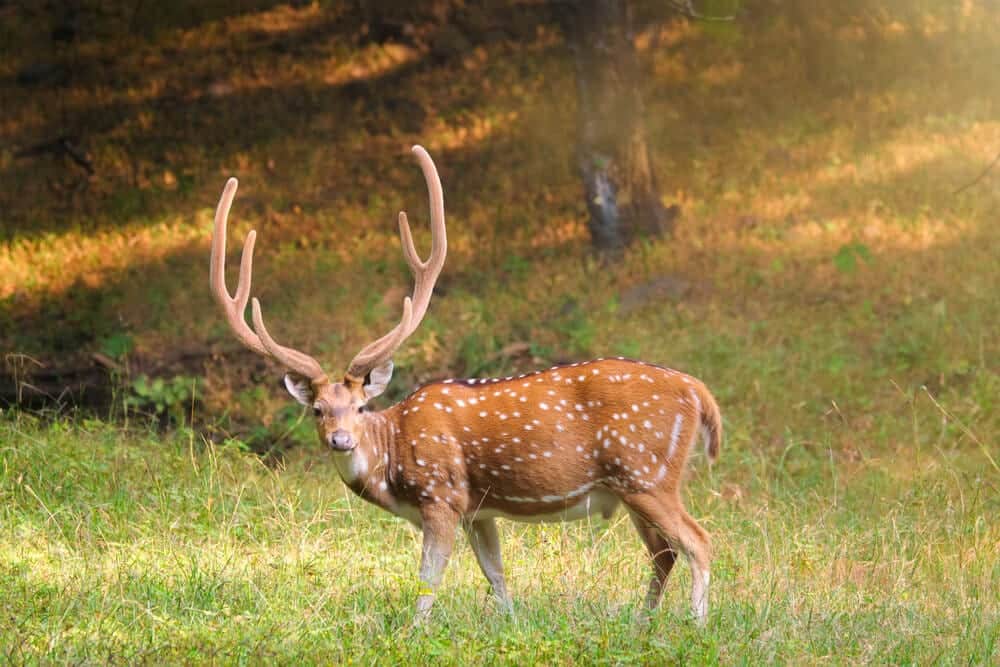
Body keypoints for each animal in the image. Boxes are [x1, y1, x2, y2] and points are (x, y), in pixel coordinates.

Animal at [211, 146, 724, 628]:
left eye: (359, 406)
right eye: (317, 409)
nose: (340, 440)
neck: (393, 456)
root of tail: (699, 392)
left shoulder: (442, 495)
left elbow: (429, 578)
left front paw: (413, 632)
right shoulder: (480, 510)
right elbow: (496, 575)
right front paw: (511, 624)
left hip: (645, 472)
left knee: (699, 541)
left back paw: (695, 625)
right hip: (633, 486)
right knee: (664, 552)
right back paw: (642, 622)